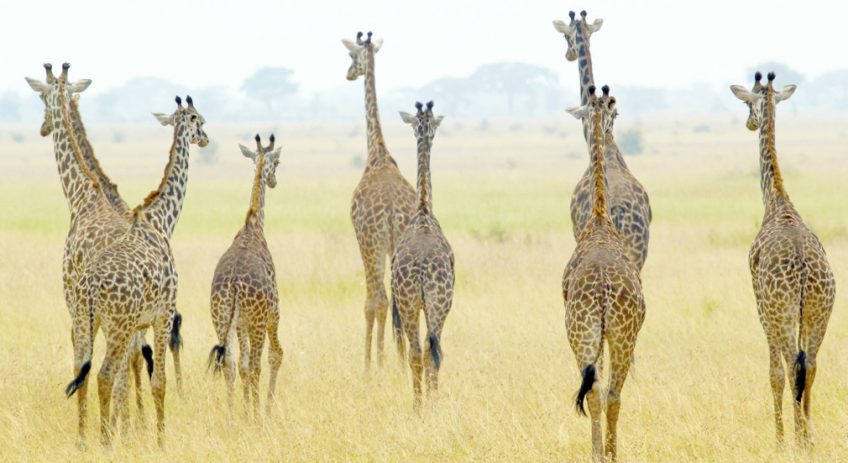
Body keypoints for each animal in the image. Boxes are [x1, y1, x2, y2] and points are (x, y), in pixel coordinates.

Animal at [65, 95, 208, 446]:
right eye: (199, 119)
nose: (205, 139)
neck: (161, 221)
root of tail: (90, 286)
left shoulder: (140, 323)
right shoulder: (164, 314)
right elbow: (159, 380)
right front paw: (160, 441)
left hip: (86, 320)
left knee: (81, 370)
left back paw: (86, 440)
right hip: (116, 324)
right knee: (103, 375)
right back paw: (105, 444)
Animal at [208, 134, 284, 418]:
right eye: (278, 162)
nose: (273, 181)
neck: (253, 225)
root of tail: (232, 285)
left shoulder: (239, 323)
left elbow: (240, 365)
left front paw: (247, 409)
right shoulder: (273, 312)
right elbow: (272, 357)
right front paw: (263, 409)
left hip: (220, 319)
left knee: (229, 364)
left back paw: (232, 415)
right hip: (258, 321)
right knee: (256, 363)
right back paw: (256, 414)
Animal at [730, 72, 834, 448]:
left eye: (748, 103)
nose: (749, 122)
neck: (777, 202)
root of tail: (804, 274)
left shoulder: (762, 309)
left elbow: (773, 372)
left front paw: (779, 439)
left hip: (783, 313)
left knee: (791, 365)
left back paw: (797, 438)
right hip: (819, 313)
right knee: (811, 365)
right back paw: (809, 437)